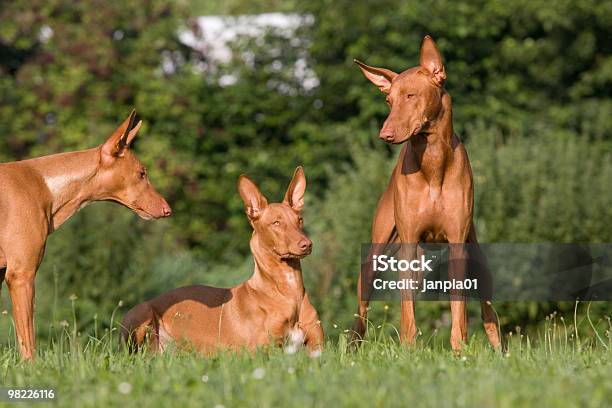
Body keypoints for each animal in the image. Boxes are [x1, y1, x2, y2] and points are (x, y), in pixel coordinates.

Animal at [120, 167, 326, 356]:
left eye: (299, 220)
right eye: (276, 222)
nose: (307, 244)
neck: (289, 292)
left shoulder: (318, 349)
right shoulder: (261, 351)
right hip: (142, 314)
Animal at [352, 35, 500, 350]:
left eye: (411, 96)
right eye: (389, 100)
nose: (385, 134)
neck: (432, 161)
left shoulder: (457, 243)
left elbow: (459, 310)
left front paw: (459, 349)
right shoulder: (408, 245)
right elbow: (407, 311)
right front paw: (409, 350)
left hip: (480, 265)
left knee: (489, 314)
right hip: (374, 260)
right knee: (361, 316)